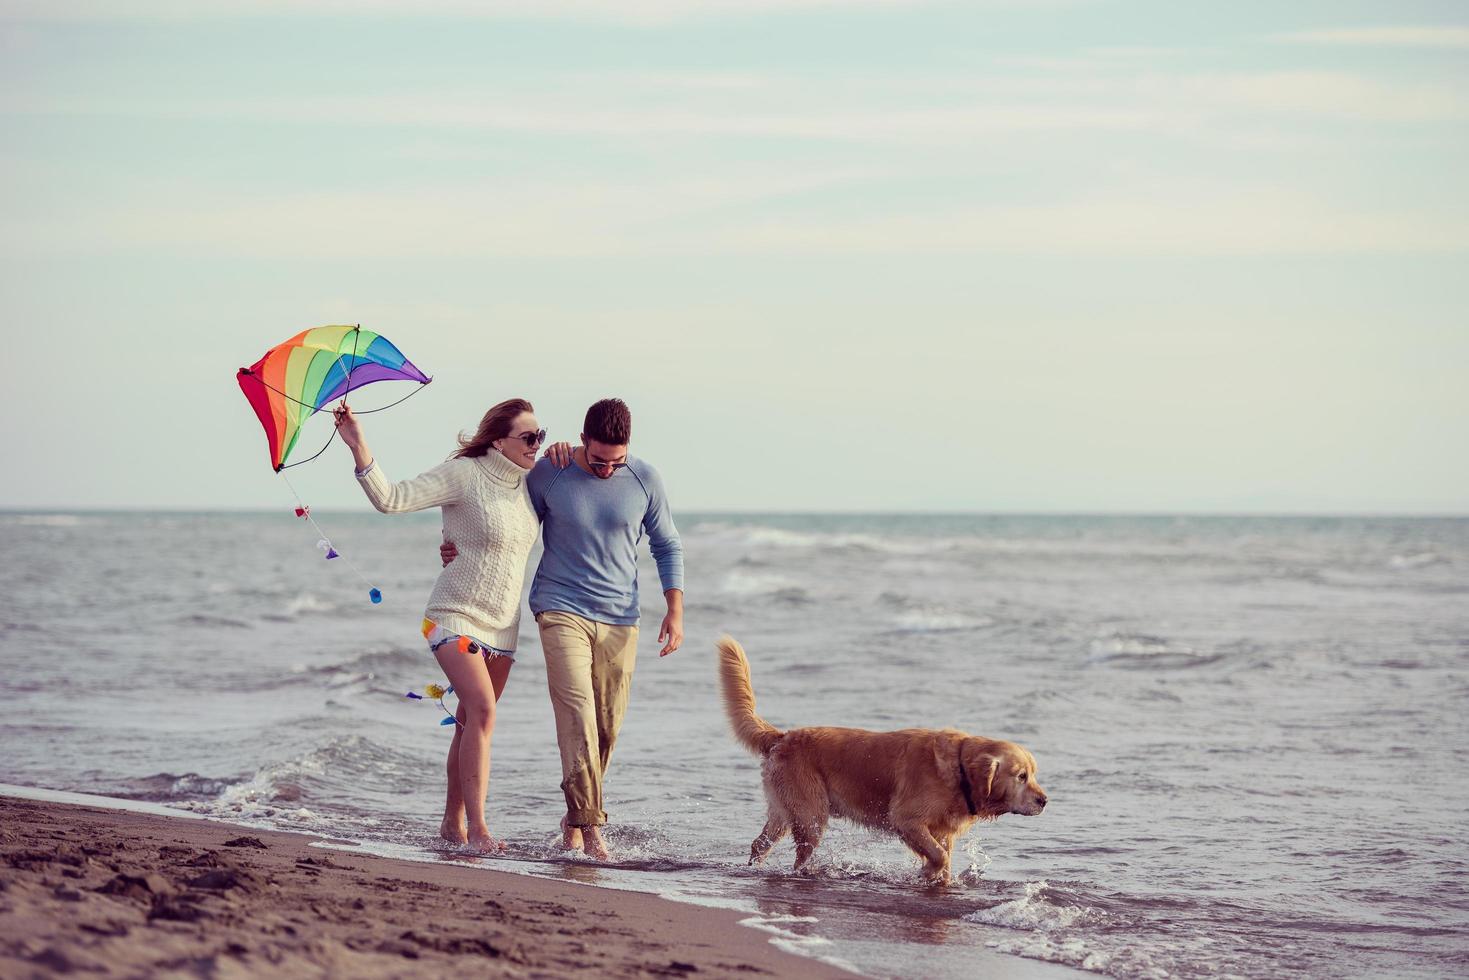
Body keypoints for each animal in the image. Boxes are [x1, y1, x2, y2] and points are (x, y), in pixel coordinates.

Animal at [713, 637, 1045, 881]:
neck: (959, 769)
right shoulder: (906, 820)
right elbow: (938, 855)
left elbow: (945, 858)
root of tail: (783, 736)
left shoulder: (942, 831)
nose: (1044, 801)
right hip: (811, 815)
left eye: (1033, 774)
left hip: (784, 810)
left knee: (760, 843)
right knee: (799, 855)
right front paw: (927, 872)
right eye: (1021, 776)